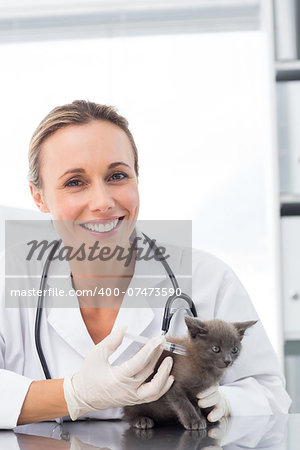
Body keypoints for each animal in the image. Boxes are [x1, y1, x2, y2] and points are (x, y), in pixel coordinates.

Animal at [123, 314, 256, 430]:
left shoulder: (197, 393)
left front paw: (202, 418)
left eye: (234, 349)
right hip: (135, 401)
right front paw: (194, 421)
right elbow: (184, 403)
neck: (206, 369)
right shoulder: (172, 385)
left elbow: (195, 405)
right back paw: (141, 420)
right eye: (216, 349)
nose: (228, 361)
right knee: (129, 414)